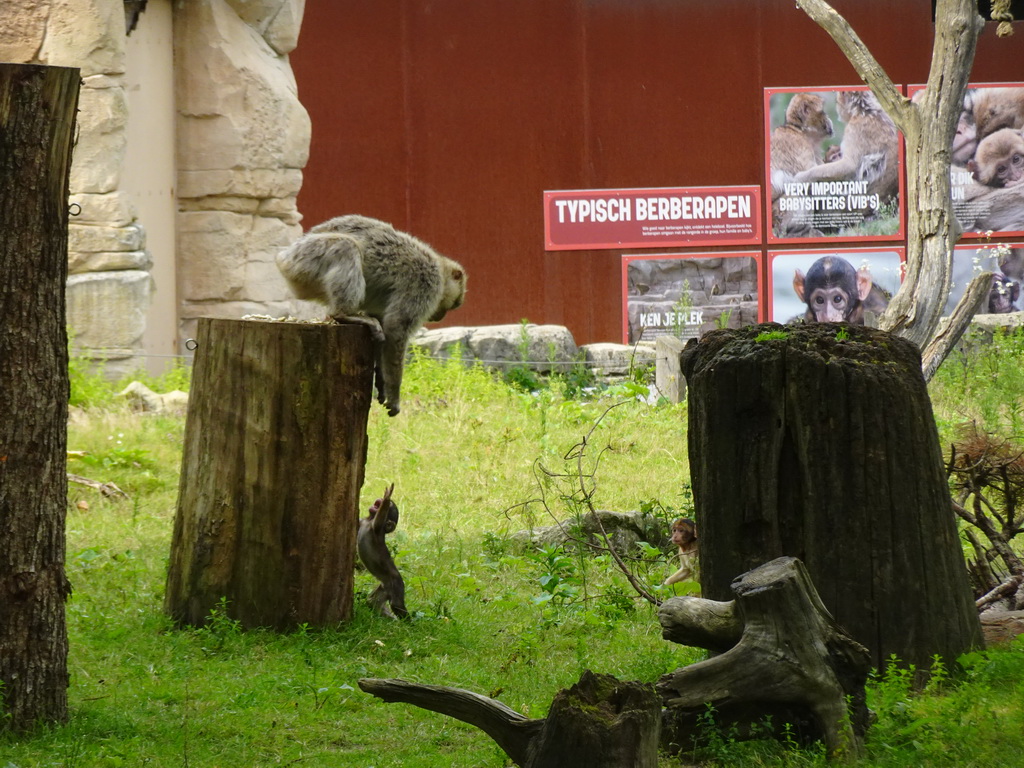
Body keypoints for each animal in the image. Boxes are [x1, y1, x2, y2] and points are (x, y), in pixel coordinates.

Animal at [280, 214, 471, 417]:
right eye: (454, 304)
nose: (440, 316)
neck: (440, 270)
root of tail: (284, 256)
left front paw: (381, 379)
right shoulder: (425, 283)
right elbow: (396, 328)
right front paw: (394, 393)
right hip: (306, 260)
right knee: (346, 247)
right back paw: (344, 314)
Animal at [358, 487, 409, 618]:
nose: (379, 500)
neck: (368, 521)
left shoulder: (376, 527)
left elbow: (380, 517)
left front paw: (387, 496)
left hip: (397, 585)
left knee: (397, 605)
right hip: (384, 588)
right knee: (372, 602)